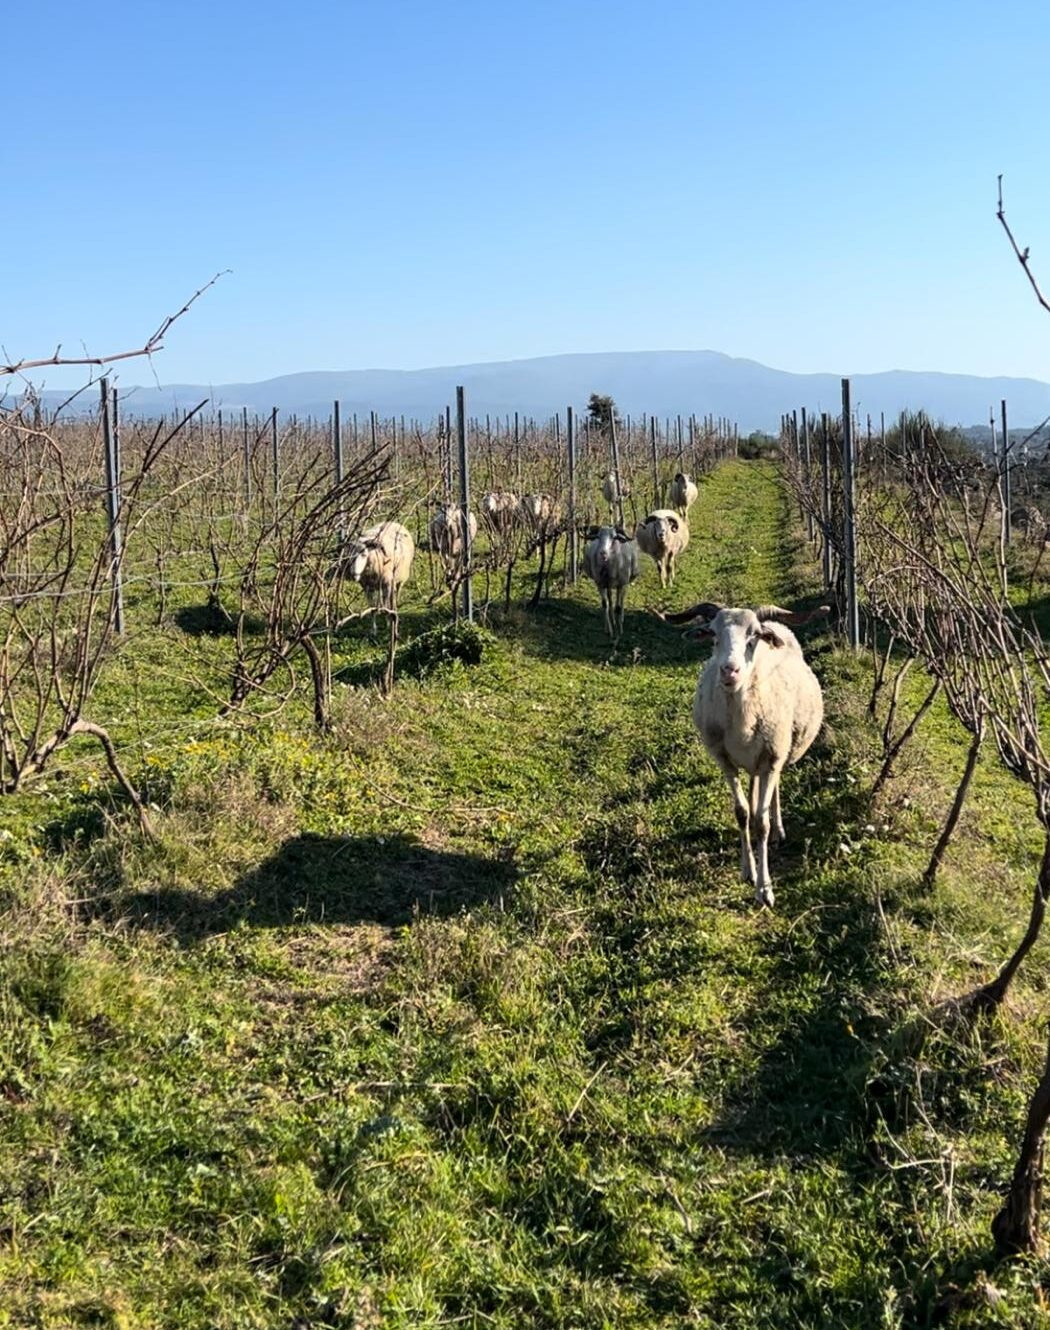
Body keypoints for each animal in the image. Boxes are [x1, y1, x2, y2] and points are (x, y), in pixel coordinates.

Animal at [668, 601, 825, 904]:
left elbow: (762, 822)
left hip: (778, 750)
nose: (730, 670)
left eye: (753, 637)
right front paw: (747, 870)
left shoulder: (772, 757)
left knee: (774, 788)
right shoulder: (724, 760)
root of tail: (775, 626)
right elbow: (741, 813)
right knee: (752, 792)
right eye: (714, 636)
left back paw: (778, 831)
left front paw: (765, 889)